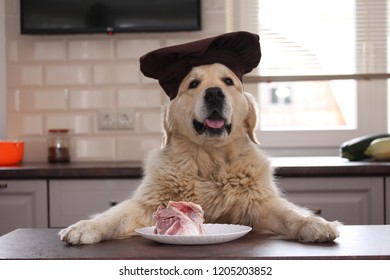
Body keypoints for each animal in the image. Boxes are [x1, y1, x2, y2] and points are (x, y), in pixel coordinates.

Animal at [58, 63, 342, 245]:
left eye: (228, 81)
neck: (209, 161)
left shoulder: (260, 201)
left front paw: (316, 224)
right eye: (193, 84)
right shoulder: (148, 203)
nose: (214, 93)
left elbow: (291, 214)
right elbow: (114, 215)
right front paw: (85, 227)